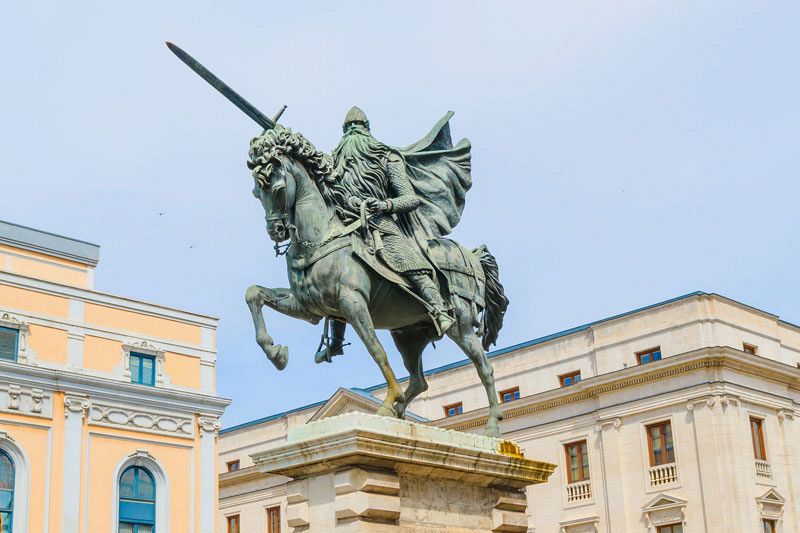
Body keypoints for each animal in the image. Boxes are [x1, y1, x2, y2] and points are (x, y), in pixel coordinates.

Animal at [244, 125, 510, 436]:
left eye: (276, 188)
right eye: (255, 192)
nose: (276, 231)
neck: (321, 237)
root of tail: (473, 256)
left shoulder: (353, 303)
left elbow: (376, 351)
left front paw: (389, 399)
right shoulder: (309, 307)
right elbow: (254, 293)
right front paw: (276, 353)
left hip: (462, 325)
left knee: (485, 368)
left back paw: (491, 426)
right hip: (408, 335)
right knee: (419, 381)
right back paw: (397, 414)